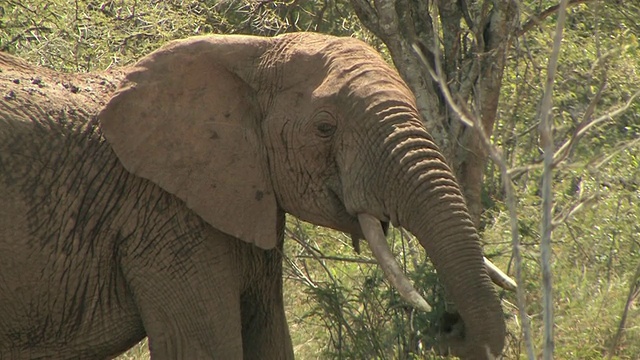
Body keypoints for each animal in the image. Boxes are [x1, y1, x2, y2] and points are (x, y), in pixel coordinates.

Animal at [0, 32, 508, 358]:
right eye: (325, 129)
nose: (446, 323)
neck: (247, 52)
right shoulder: (163, 218)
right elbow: (204, 349)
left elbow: (270, 341)